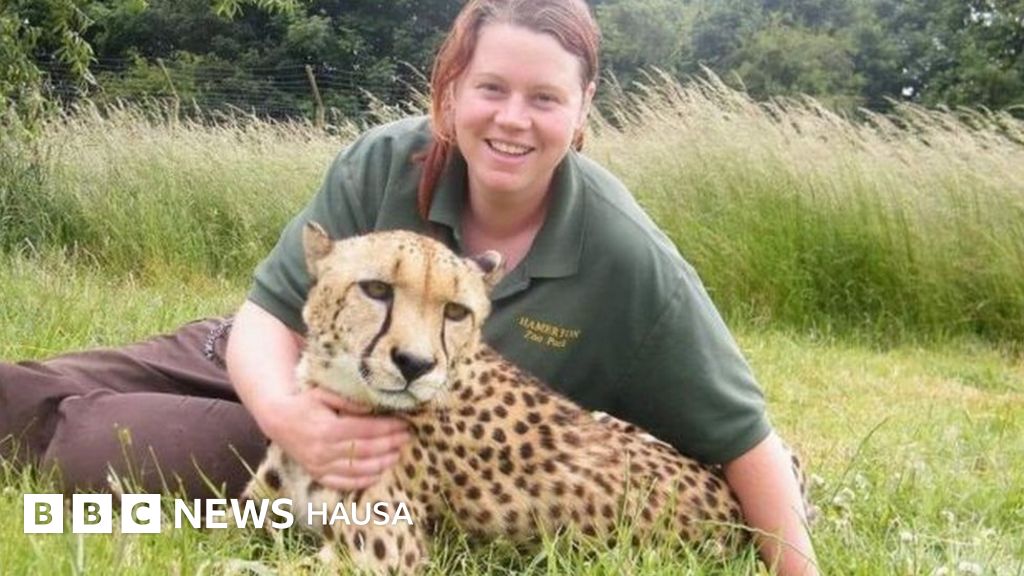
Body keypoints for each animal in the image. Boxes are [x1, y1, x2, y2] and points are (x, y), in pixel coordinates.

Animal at [241, 222, 812, 575]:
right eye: (377, 290)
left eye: (455, 312)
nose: (415, 365)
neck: (339, 391)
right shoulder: (258, 512)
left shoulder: (379, 559)